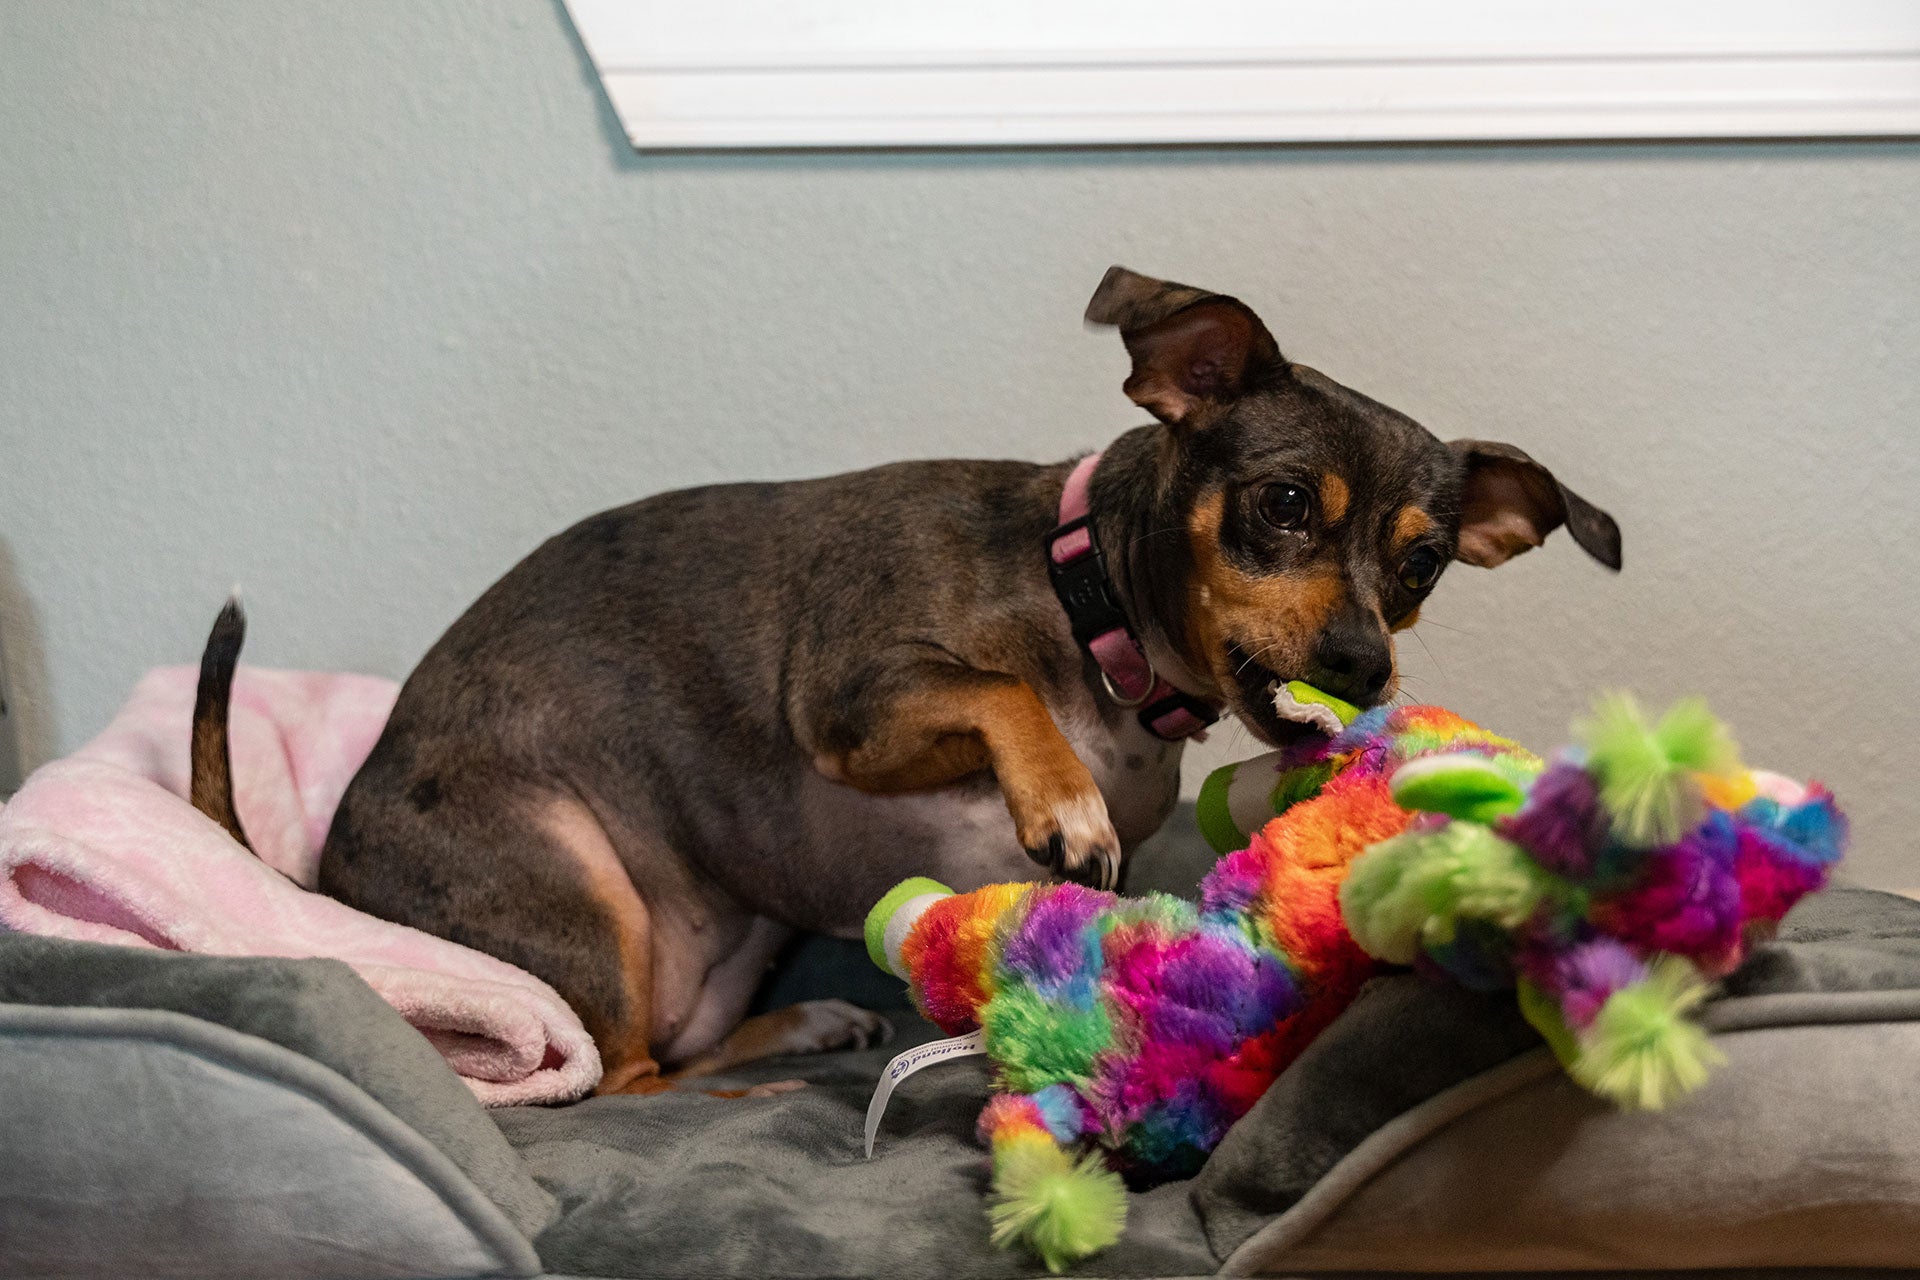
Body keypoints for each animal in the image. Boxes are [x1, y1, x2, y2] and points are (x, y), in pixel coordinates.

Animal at [187, 264, 1620, 1097]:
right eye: (1280, 507)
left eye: (1422, 563)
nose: (1365, 670)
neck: (1083, 599)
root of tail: (318, 871)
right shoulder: (851, 702)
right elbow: (998, 693)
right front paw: (1060, 798)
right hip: (576, 895)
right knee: (623, 1080)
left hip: (733, 934)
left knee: (672, 1050)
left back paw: (794, 1035)